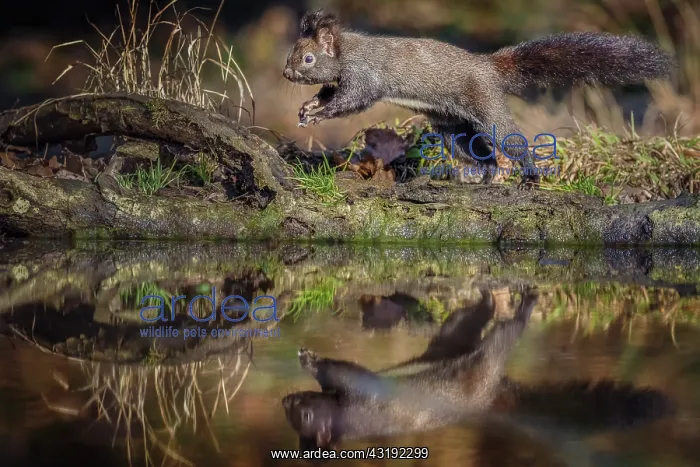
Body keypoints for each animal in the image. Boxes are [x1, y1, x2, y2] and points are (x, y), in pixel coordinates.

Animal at [282, 10, 676, 187]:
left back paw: (530, 176)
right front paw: (308, 107)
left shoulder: (365, 75)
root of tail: (489, 66)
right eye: (291, 53)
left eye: (308, 58)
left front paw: (318, 114)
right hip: (452, 127)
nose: (286, 74)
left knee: (514, 142)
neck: (348, 50)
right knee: (478, 153)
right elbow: (330, 93)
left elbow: (354, 100)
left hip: (488, 109)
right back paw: (480, 176)